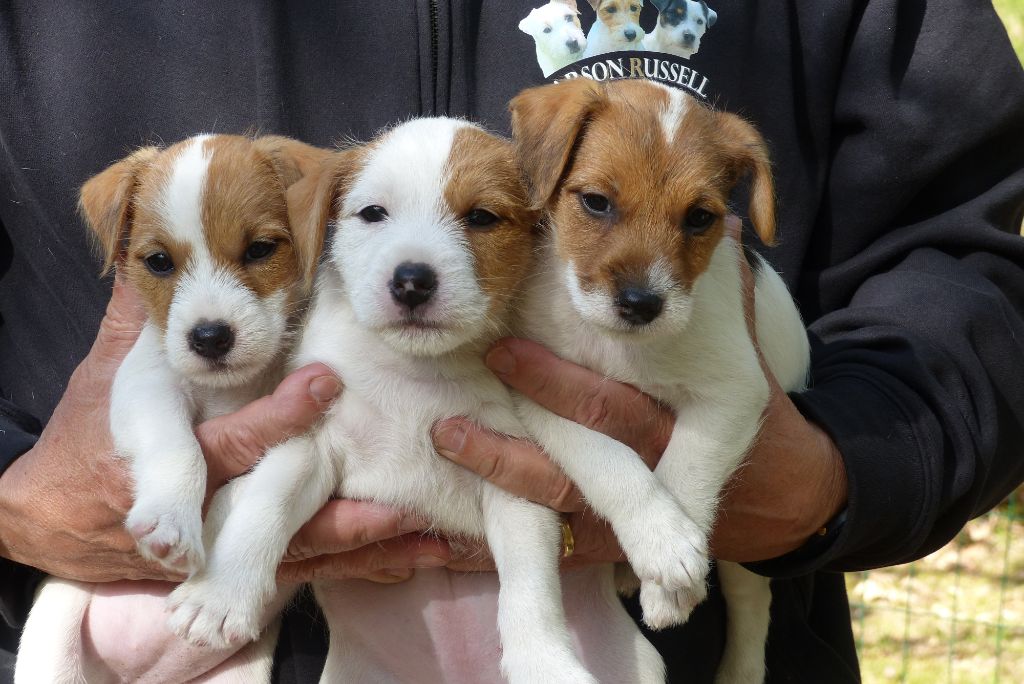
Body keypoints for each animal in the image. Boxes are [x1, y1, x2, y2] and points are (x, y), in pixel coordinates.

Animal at [14, 133, 327, 684]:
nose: (210, 337)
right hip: (52, 634)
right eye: (159, 261)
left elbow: (281, 479)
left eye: (261, 250)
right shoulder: (145, 385)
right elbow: (181, 450)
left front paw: (224, 588)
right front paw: (170, 520)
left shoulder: (310, 418)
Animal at [162, 120, 638, 684]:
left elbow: (531, 587)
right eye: (373, 213)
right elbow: (266, 504)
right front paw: (219, 596)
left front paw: (544, 662)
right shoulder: (310, 441)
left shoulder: (513, 478)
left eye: (481, 217)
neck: (416, 373)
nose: (412, 280)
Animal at [509, 80, 806, 684]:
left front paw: (670, 574)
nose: (641, 304)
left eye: (699, 217)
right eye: (596, 202)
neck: (622, 348)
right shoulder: (541, 387)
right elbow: (612, 463)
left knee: (752, 602)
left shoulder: (733, 393)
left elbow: (685, 469)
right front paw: (661, 542)